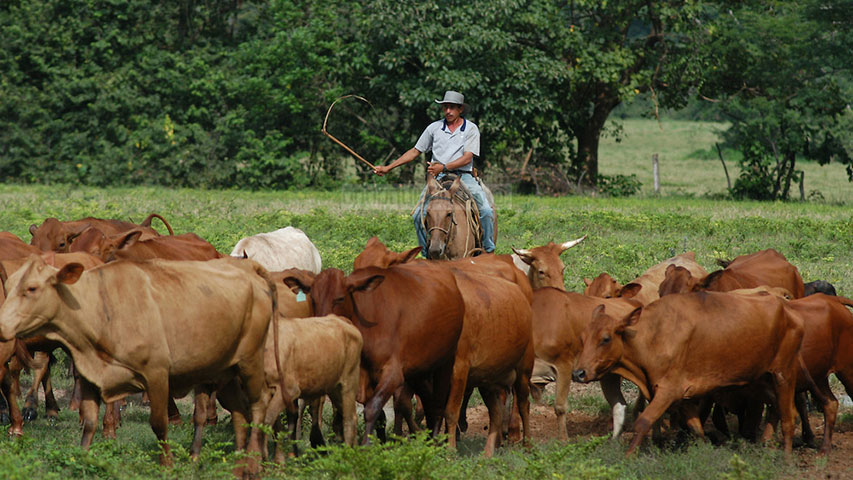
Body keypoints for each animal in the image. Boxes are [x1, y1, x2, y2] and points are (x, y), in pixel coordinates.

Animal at [0, 256, 272, 474]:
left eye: (31, 288)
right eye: (8, 286)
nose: (1, 325)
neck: (100, 309)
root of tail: (250, 269)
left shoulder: (157, 374)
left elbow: (159, 423)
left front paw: (167, 464)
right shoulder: (89, 375)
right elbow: (89, 423)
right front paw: (82, 459)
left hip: (251, 362)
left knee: (259, 406)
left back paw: (254, 463)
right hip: (225, 369)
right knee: (239, 411)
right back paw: (239, 461)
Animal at [282, 262, 462, 442]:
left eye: (340, 298)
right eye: (313, 298)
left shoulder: (393, 374)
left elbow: (372, 409)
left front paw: (366, 445)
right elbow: (379, 416)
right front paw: (381, 442)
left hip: (445, 362)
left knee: (439, 404)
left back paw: (437, 441)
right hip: (419, 370)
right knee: (428, 400)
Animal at [572, 290, 804, 456]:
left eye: (605, 338)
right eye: (583, 337)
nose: (578, 373)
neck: (654, 335)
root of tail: (788, 309)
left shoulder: (668, 390)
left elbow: (643, 422)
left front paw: (628, 457)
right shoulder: (683, 396)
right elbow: (696, 427)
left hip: (784, 374)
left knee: (788, 417)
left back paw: (786, 458)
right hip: (759, 379)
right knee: (780, 409)